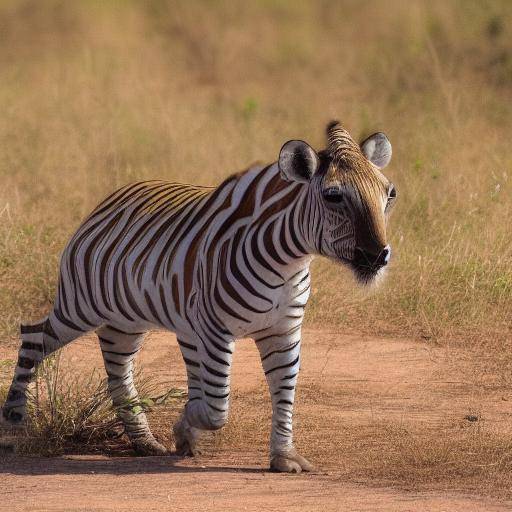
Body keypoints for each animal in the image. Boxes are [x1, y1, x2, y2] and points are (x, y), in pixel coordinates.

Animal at [1, 120, 396, 472]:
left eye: (389, 196)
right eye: (333, 196)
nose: (377, 256)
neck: (287, 262)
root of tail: (116, 196)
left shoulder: (283, 331)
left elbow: (284, 392)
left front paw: (284, 457)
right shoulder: (216, 330)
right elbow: (216, 408)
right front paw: (185, 421)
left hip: (129, 321)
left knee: (118, 369)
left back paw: (144, 441)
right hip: (82, 306)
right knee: (33, 337)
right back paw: (12, 419)